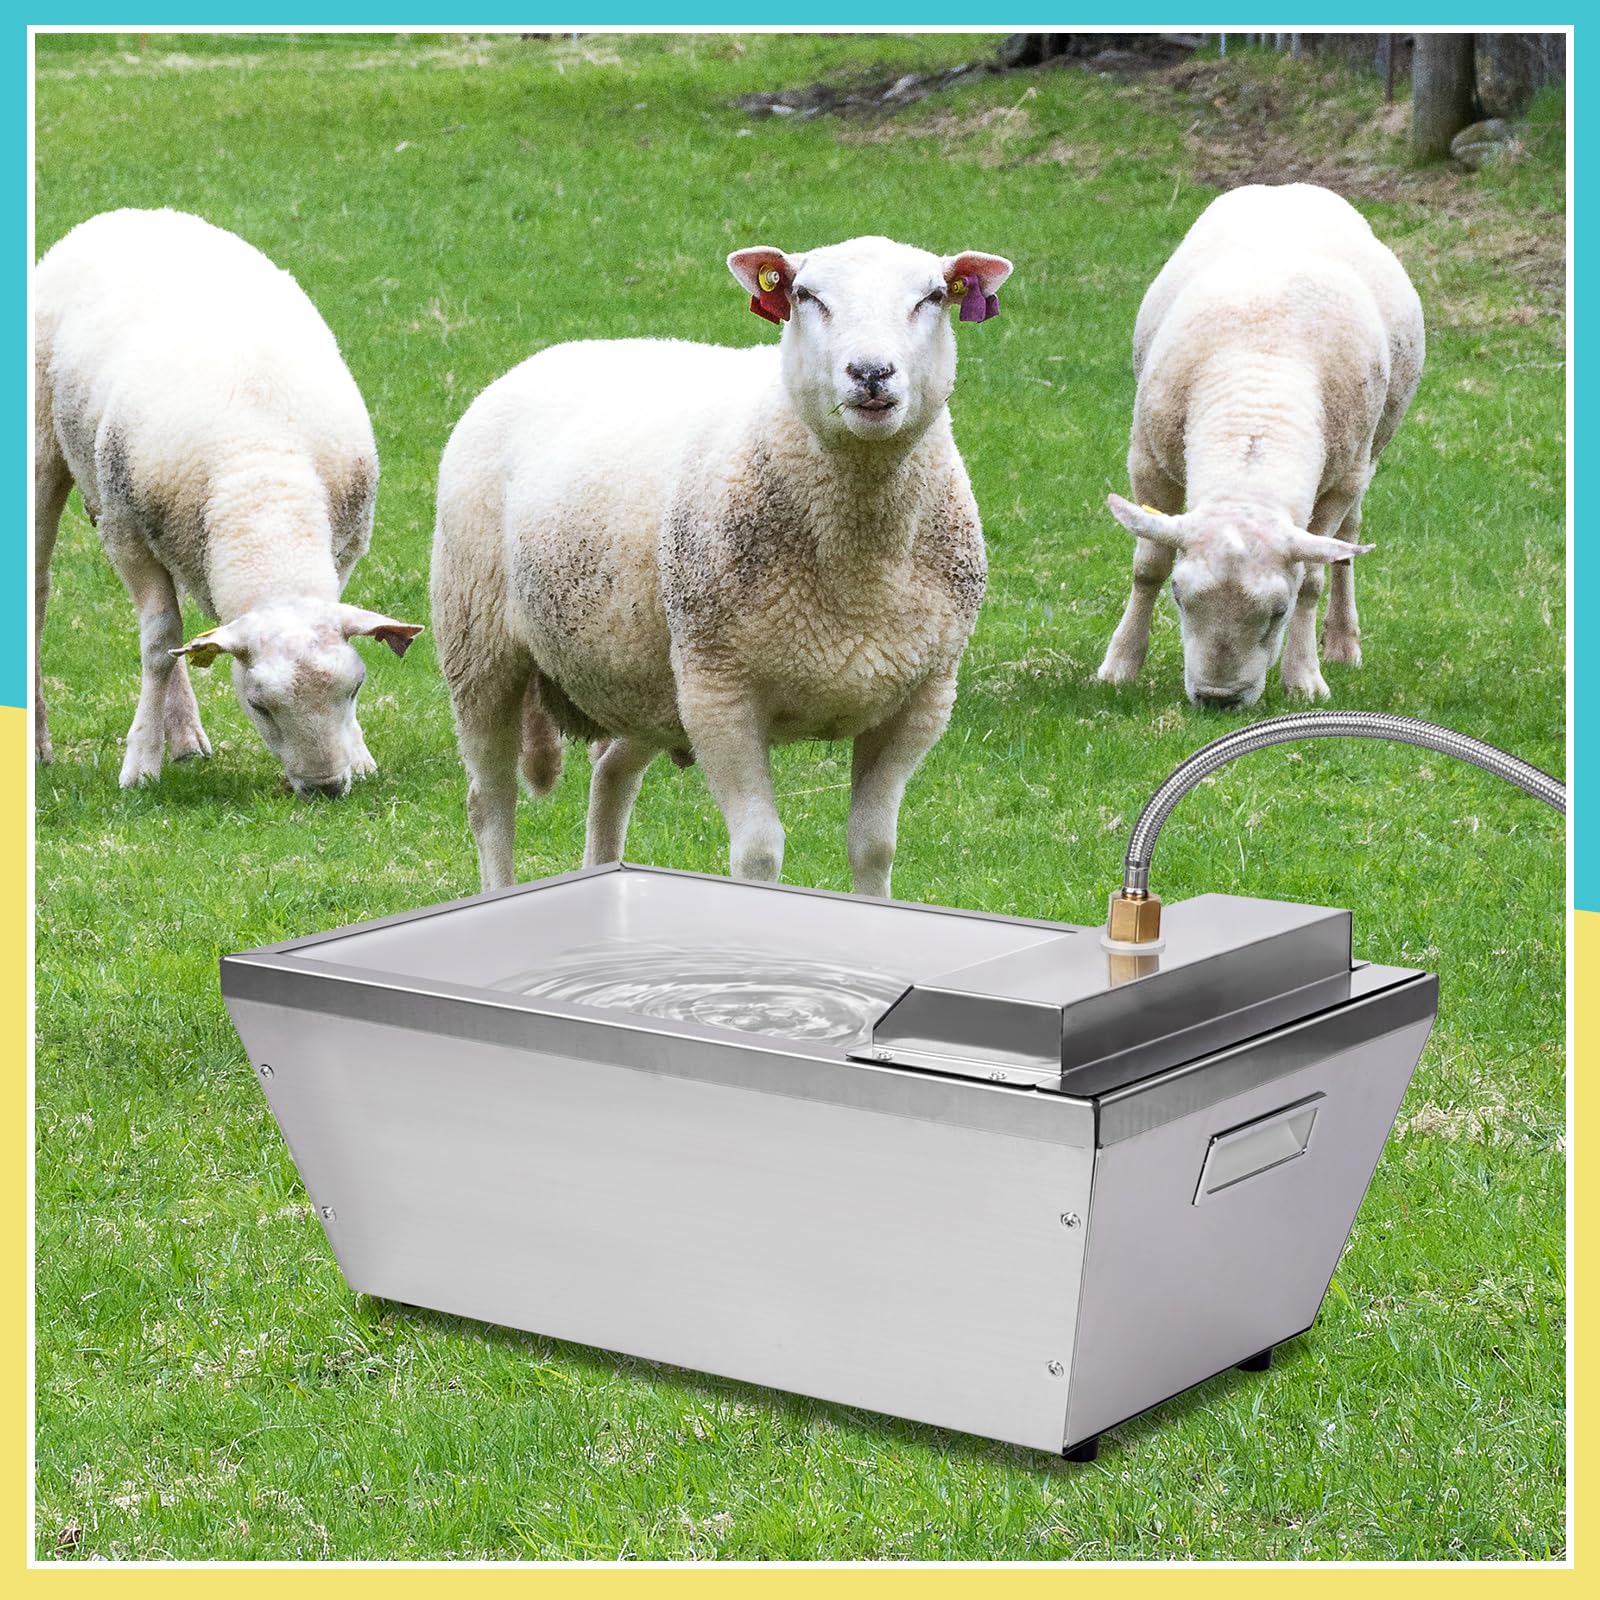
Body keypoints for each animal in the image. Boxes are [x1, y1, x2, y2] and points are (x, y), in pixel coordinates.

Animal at [33, 208, 423, 796]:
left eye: (355, 689)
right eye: (258, 705)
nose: (326, 788)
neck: (262, 482)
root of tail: (128, 215)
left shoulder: (347, 545)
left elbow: (175, 640)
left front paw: (358, 754)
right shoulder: (127, 535)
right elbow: (159, 642)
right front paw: (140, 763)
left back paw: (186, 738)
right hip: (41, 448)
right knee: (39, 594)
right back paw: (38, 742)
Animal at [432, 234, 1012, 895]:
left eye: (933, 297)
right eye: (806, 295)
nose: (870, 373)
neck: (861, 569)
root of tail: (545, 358)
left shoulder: (922, 698)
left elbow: (873, 846)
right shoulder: (720, 694)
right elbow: (758, 853)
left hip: (647, 680)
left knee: (611, 772)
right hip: (479, 645)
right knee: (491, 800)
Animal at [1096, 183, 1424, 707]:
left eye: (1278, 613)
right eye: (1179, 599)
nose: (1217, 699)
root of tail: (1291, 186)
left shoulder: (1341, 481)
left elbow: (1311, 578)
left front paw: (1304, 678)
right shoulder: (1147, 461)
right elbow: (1148, 563)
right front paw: (1120, 665)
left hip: (1370, 452)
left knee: (1346, 542)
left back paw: (1342, 642)